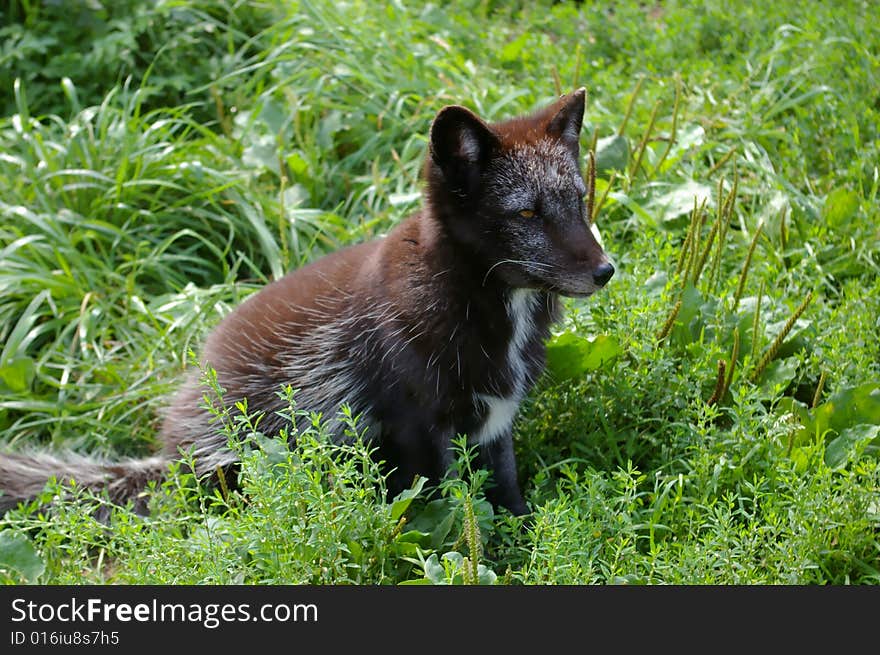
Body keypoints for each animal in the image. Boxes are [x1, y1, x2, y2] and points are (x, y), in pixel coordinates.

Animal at [1, 88, 612, 516]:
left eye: (579, 200)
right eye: (526, 213)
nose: (606, 271)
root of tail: (169, 457)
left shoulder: (496, 423)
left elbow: (508, 496)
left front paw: (526, 545)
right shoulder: (417, 430)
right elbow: (444, 509)